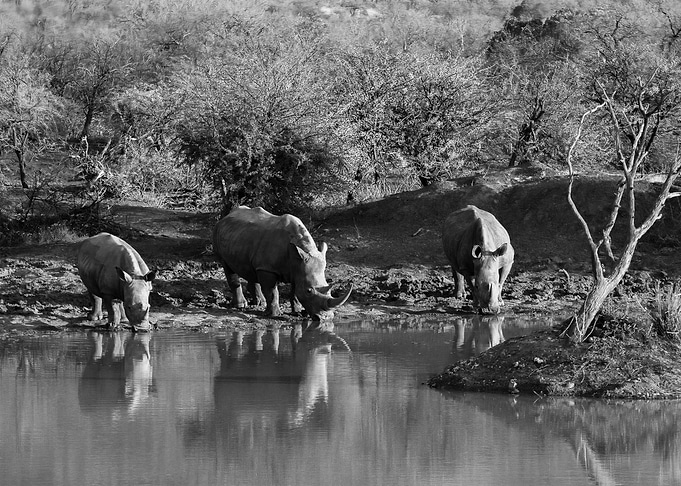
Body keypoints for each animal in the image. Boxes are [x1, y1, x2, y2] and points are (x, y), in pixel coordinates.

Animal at [213, 206, 352, 320]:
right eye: (309, 291)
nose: (325, 318)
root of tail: (226, 217)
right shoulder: (268, 268)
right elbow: (272, 292)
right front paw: (273, 315)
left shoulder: (298, 268)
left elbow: (295, 292)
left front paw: (297, 312)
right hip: (219, 233)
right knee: (227, 267)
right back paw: (241, 306)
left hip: (241, 237)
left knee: (251, 268)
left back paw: (259, 303)